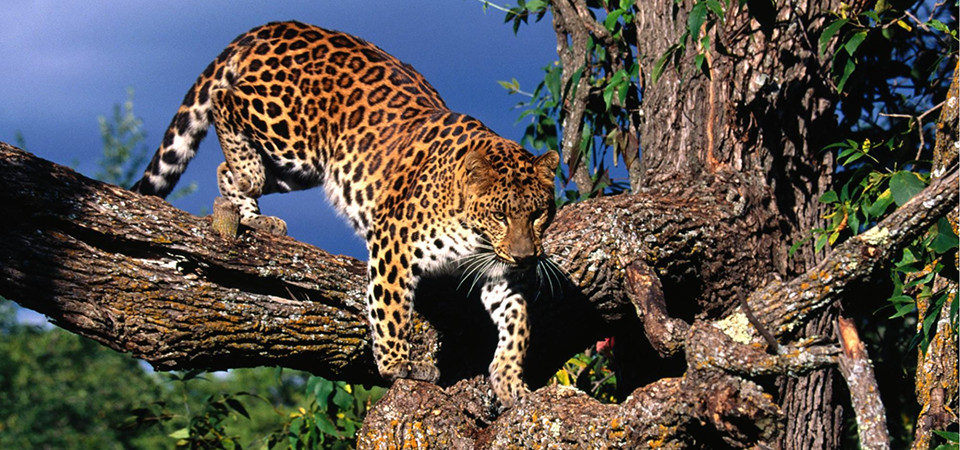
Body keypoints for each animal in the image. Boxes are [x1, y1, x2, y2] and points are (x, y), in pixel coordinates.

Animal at [131, 20, 560, 407]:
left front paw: (510, 382)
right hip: (287, 129)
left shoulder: (502, 274)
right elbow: (391, 307)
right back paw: (248, 171)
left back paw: (253, 215)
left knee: (226, 171)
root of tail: (274, 25)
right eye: (500, 215)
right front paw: (398, 365)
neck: (474, 234)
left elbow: (518, 325)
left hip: (299, 168)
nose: (526, 257)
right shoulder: (394, 240)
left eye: (538, 214)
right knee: (225, 100)